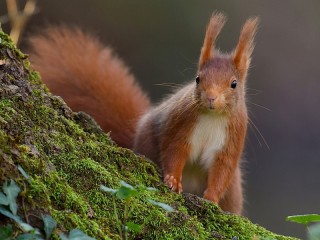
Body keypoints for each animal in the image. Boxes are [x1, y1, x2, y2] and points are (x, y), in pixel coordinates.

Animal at [28, 12, 258, 214]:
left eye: (234, 84)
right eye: (197, 78)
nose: (211, 97)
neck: (212, 117)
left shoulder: (232, 139)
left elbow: (222, 171)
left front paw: (211, 199)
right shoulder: (181, 124)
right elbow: (174, 151)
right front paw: (173, 180)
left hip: (234, 191)